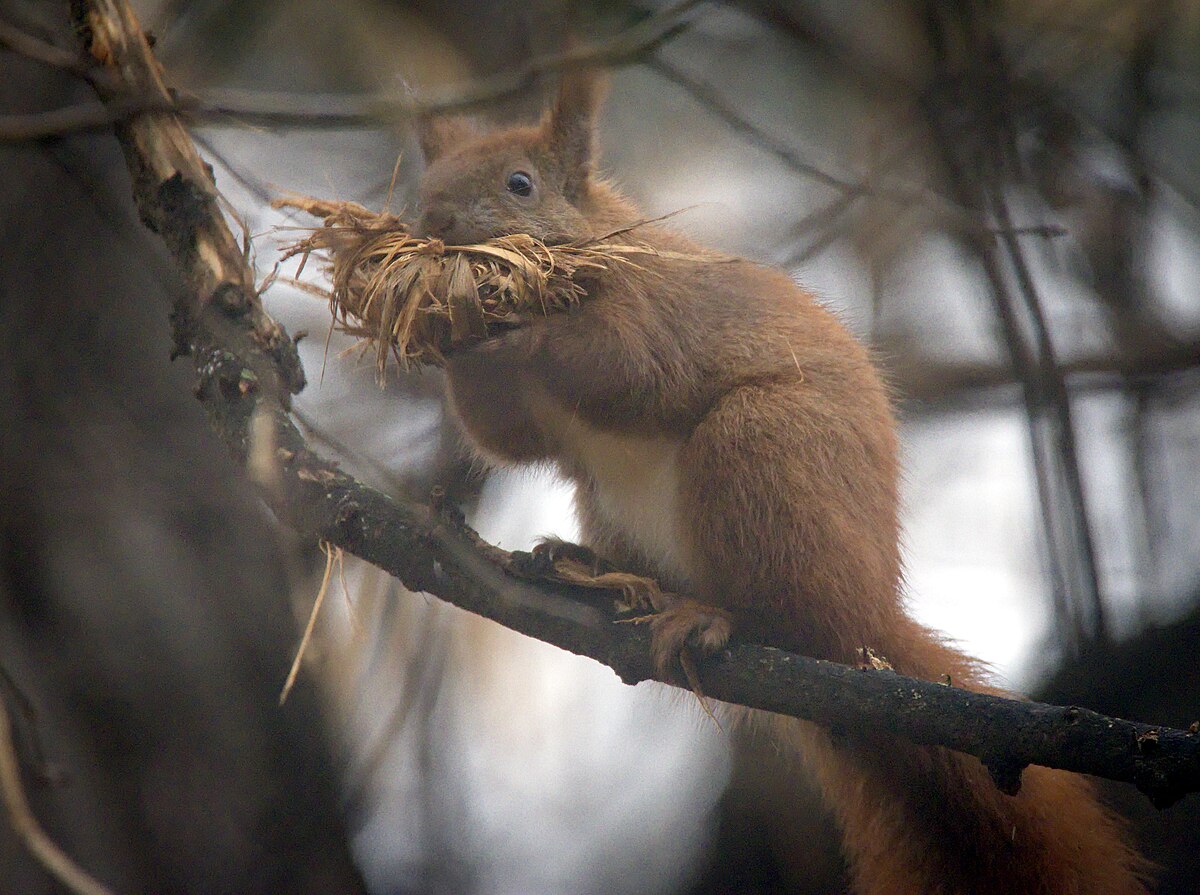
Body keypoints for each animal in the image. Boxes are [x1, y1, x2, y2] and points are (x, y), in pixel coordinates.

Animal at [412, 71, 1151, 894]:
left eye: (520, 184)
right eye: (422, 189)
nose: (435, 223)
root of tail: (866, 626)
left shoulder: (657, 311)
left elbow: (625, 368)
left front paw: (518, 329)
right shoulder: (531, 421)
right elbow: (505, 434)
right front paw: (448, 332)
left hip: (759, 454)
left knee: (783, 616)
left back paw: (710, 614)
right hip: (615, 502)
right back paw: (592, 568)